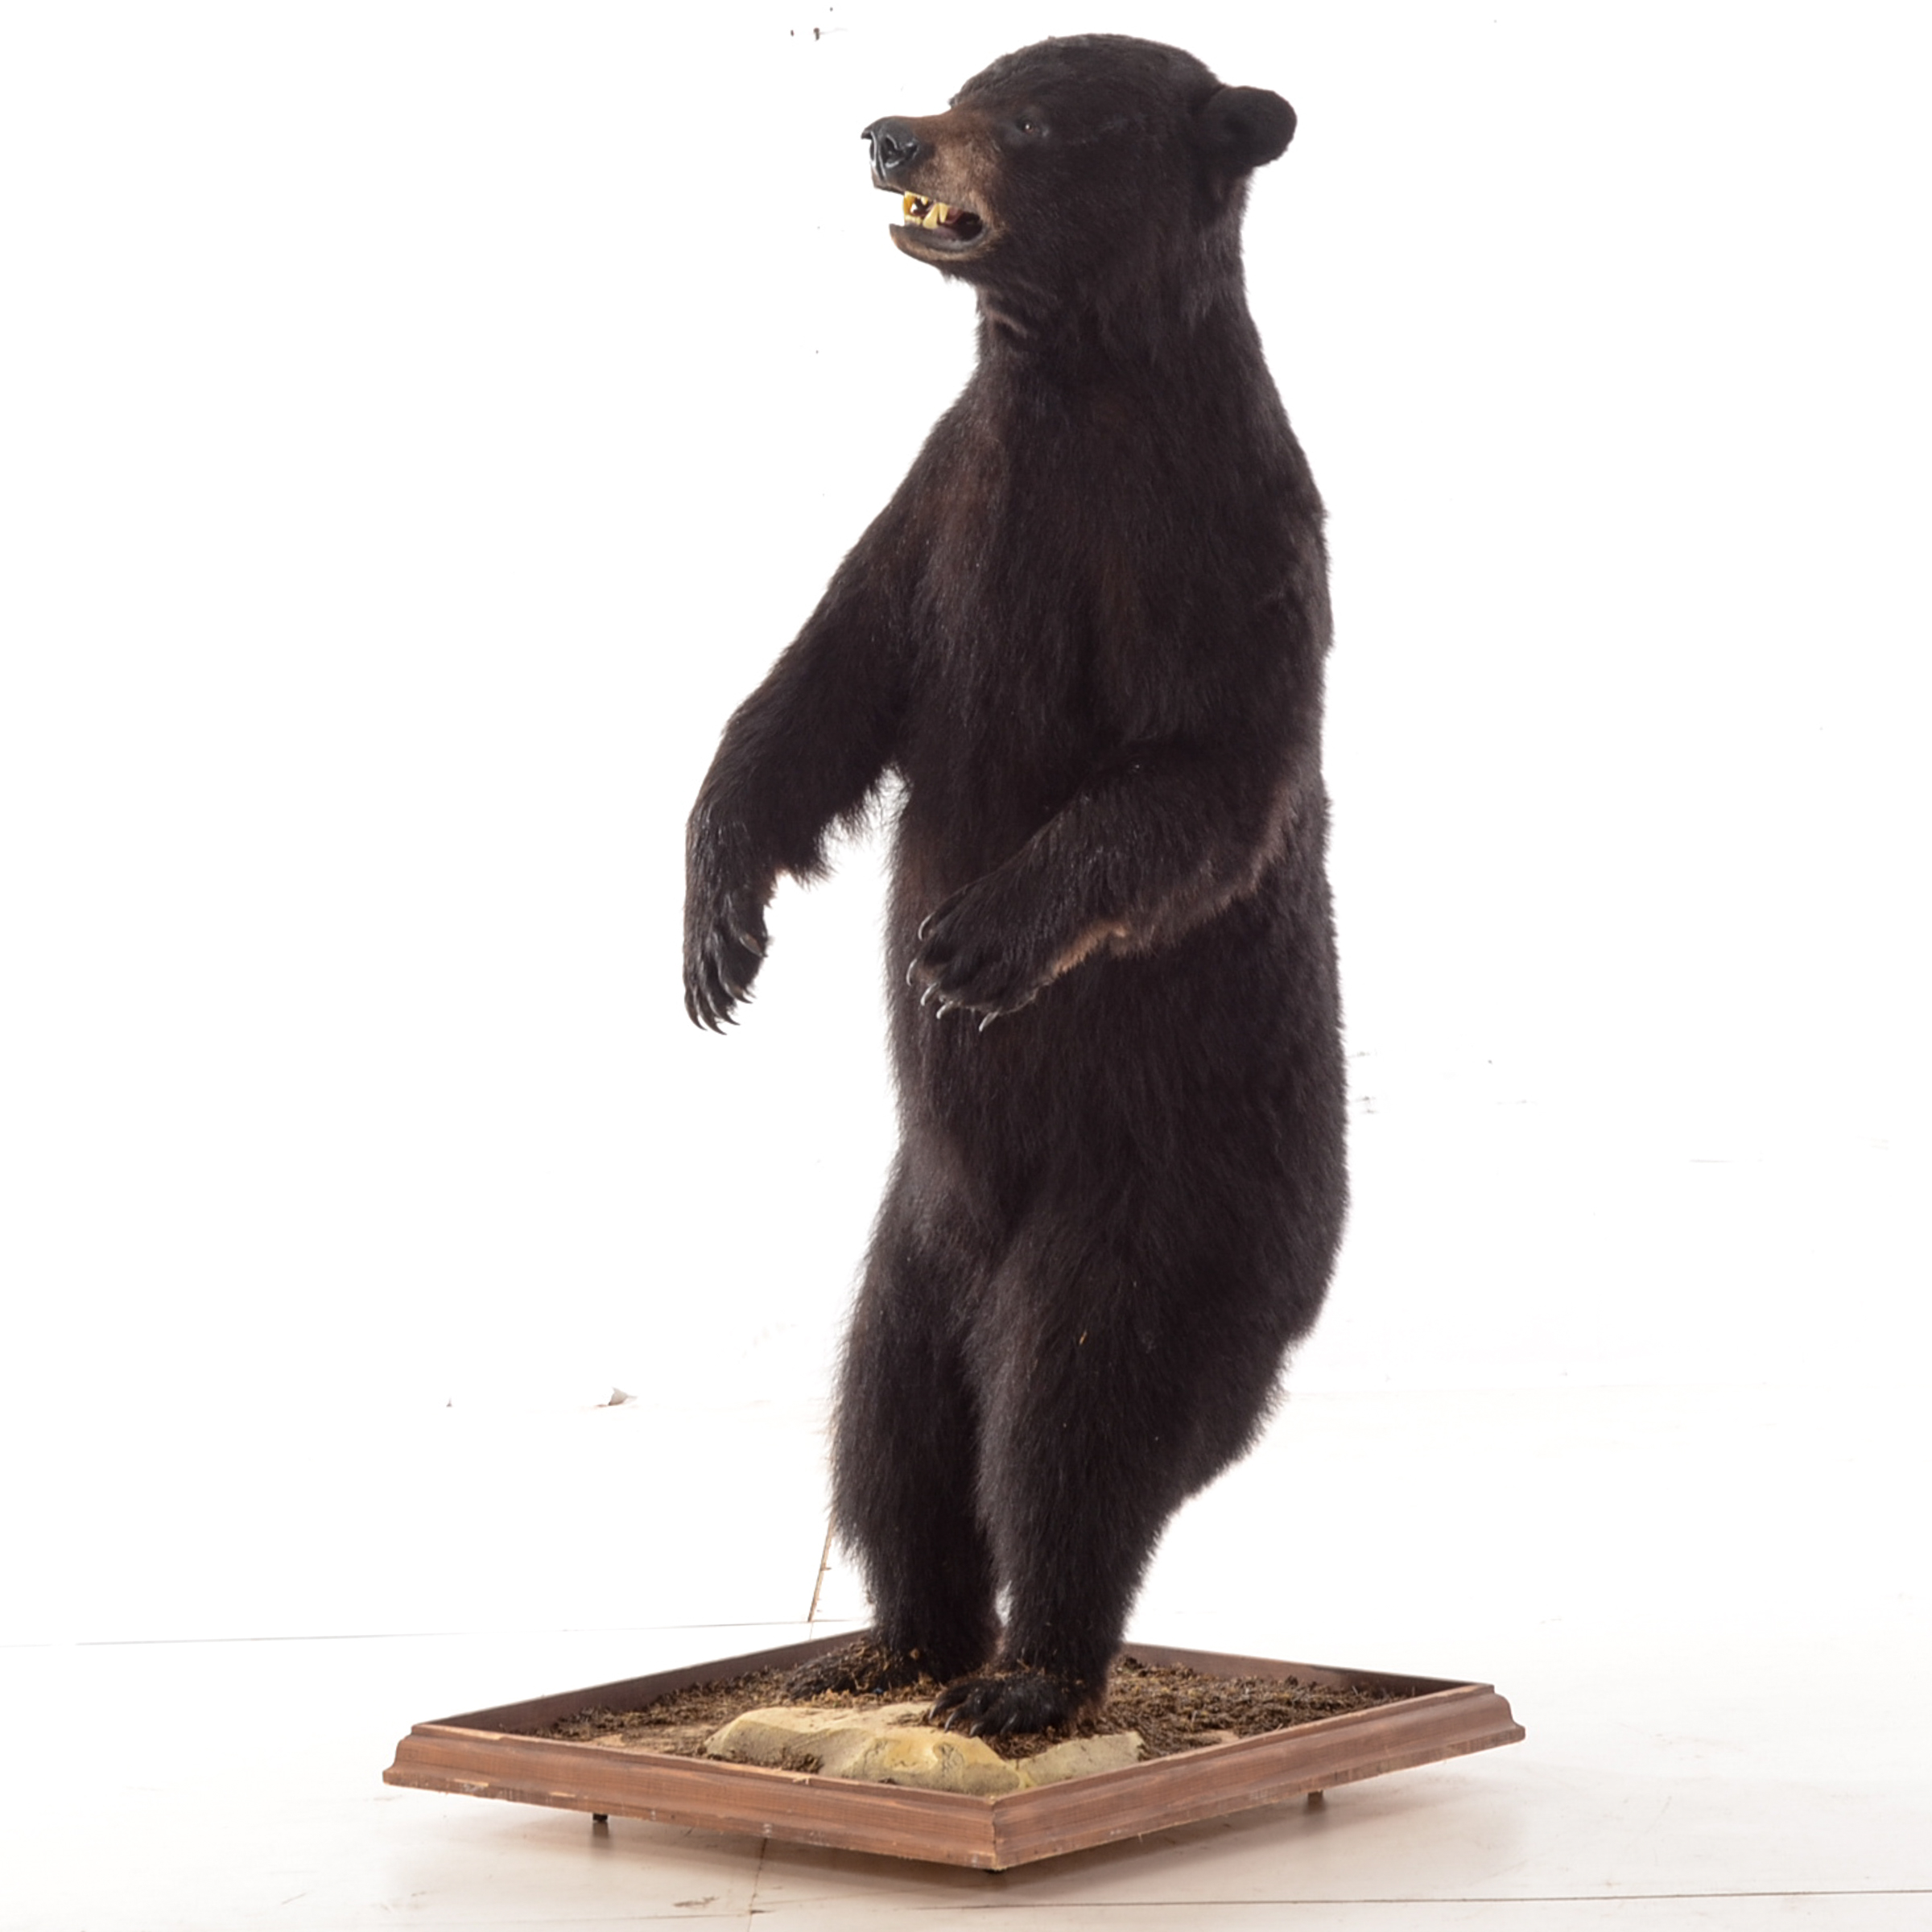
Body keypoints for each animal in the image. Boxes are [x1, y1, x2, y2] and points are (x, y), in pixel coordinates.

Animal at [684, 34, 1346, 1738]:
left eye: (1036, 118)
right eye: (971, 75)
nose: (886, 132)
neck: (1069, 385)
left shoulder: (1214, 541)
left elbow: (1201, 778)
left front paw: (971, 942)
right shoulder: (946, 513)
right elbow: (816, 689)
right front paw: (716, 934)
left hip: (1154, 1211)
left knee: (1075, 1425)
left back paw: (1029, 1676)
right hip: (905, 1255)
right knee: (893, 1438)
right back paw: (888, 1649)